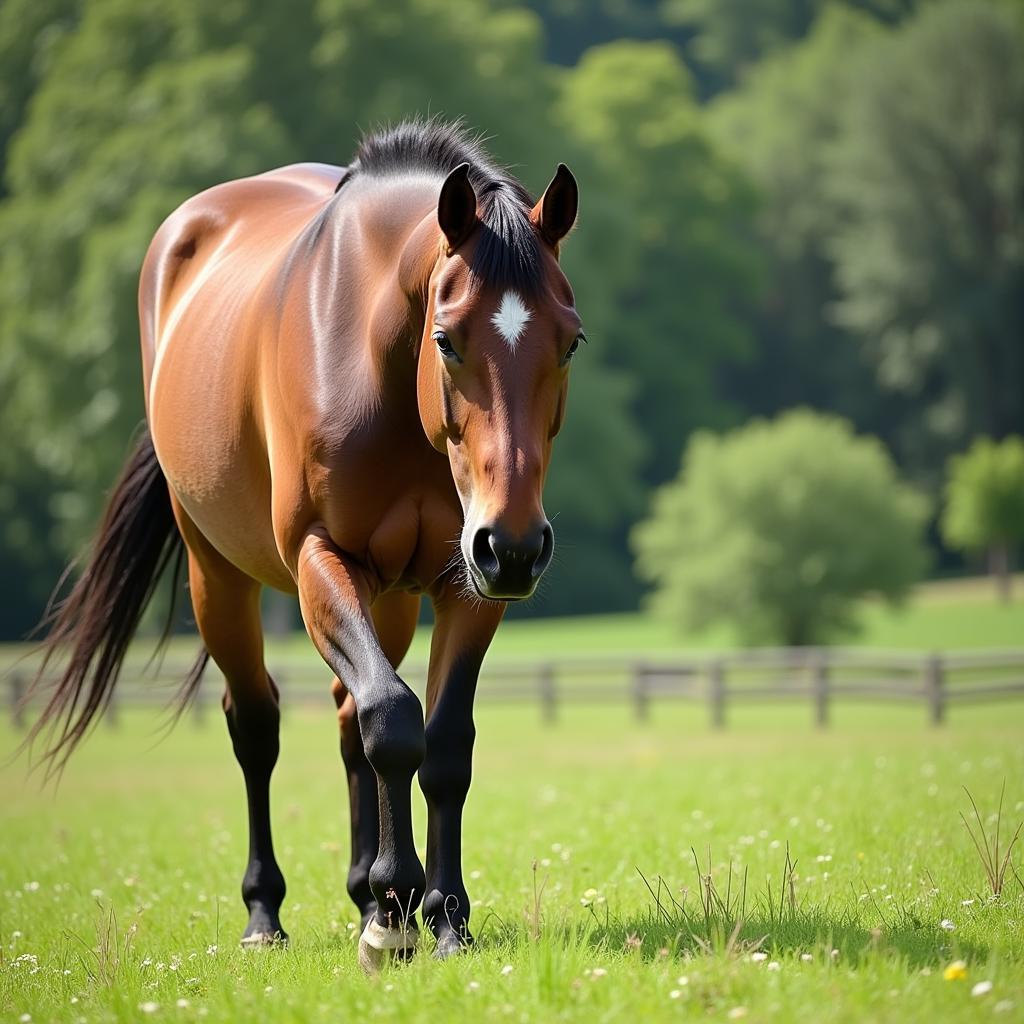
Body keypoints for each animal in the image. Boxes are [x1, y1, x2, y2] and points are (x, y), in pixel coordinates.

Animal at [25, 119, 585, 966]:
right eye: (448, 340)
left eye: (571, 343)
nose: (516, 546)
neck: (377, 366)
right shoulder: (324, 560)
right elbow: (393, 718)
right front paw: (396, 913)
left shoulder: (466, 584)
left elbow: (443, 744)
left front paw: (441, 915)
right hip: (218, 579)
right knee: (258, 725)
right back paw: (269, 913)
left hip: (392, 597)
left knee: (349, 717)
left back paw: (366, 893)